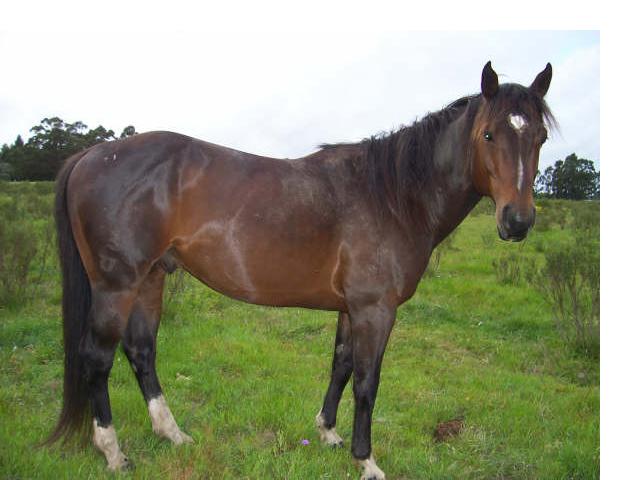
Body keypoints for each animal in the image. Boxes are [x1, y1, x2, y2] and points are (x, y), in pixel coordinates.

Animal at [46, 61, 554, 479]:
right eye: (488, 135)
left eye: (540, 138)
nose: (517, 221)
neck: (392, 197)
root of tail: (90, 155)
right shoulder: (376, 310)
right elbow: (367, 382)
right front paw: (366, 460)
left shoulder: (352, 308)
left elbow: (341, 366)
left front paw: (328, 433)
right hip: (117, 285)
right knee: (97, 358)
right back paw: (113, 453)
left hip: (151, 279)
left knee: (141, 352)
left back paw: (173, 434)